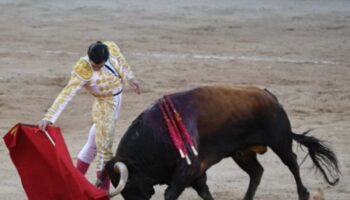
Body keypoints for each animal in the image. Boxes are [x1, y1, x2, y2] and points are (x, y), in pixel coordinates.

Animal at [100, 85, 340, 200]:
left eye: (130, 183)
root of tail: (270, 96)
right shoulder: (196, 173)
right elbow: (205, 192)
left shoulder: (188, 169)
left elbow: (170, 194)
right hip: (242, 152)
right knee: (257, 171)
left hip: (280, 141)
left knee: (292, 162)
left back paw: (304, 194)